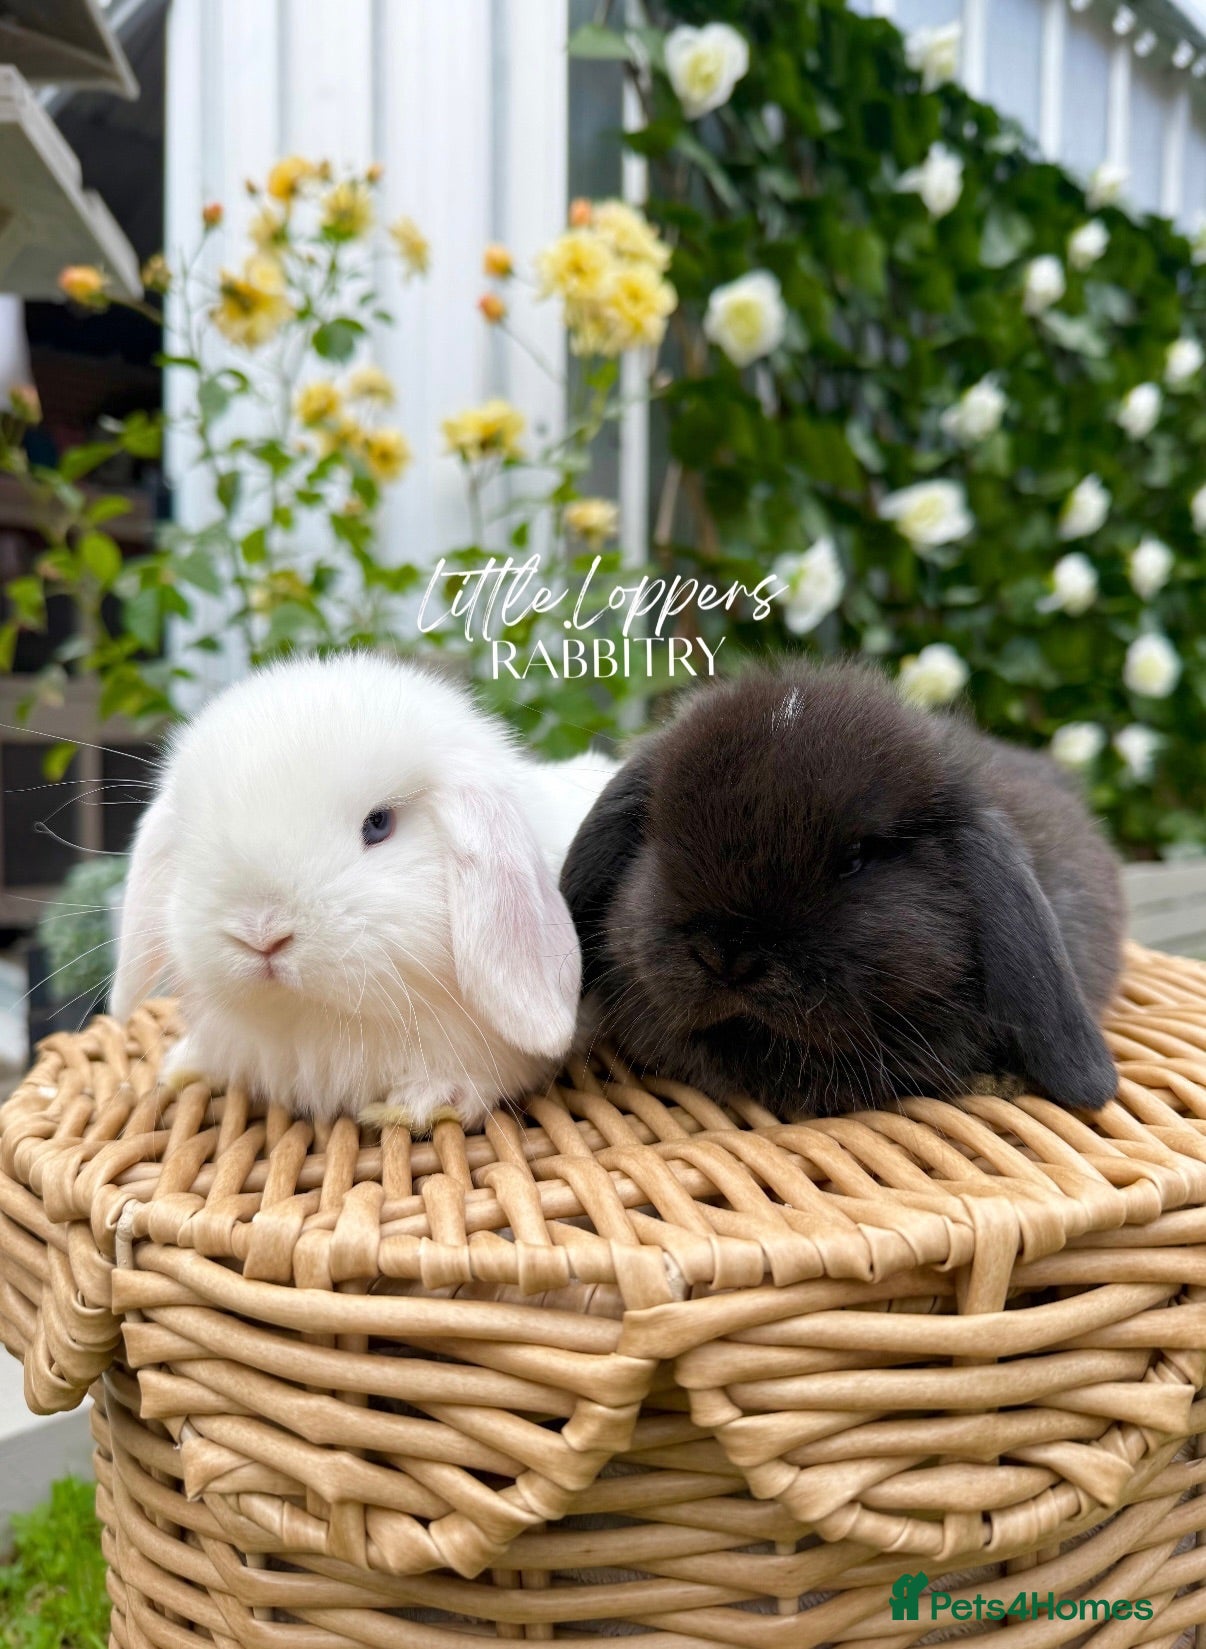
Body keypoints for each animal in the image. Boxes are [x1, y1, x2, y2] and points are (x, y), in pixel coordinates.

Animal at [111, 651, 617, 1133]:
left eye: (378, 824)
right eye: (193, 836)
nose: (261, 934)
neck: (313, 1021)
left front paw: (423, 1103)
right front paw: (184, 1066)